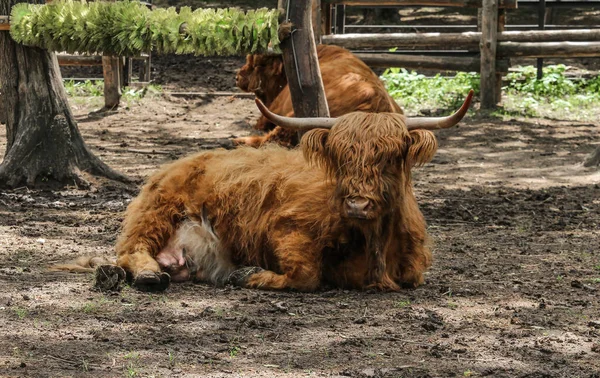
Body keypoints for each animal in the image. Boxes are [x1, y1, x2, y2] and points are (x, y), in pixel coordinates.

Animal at [110, 91, 472, 292]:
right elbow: (306, 275)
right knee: (131, 250)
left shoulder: (413, 269)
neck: (375, 244)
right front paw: (251, 274)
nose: (357, 205)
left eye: (391, 157)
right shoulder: (287, 228)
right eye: (340, 156)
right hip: (156, 212)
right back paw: (148, 275)